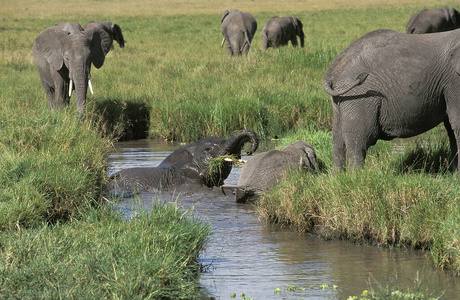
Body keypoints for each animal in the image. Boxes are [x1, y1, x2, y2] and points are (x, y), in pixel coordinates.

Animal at [322, 28, 460, 173]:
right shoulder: (454, 80)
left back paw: (338, 176)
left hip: (341, 100)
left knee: (337, 139)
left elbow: (451, 127)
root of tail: (331, 71)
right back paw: (356, 176)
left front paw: (454, 173)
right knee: (358, 139)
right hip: (359, 97)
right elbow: (457, 123)